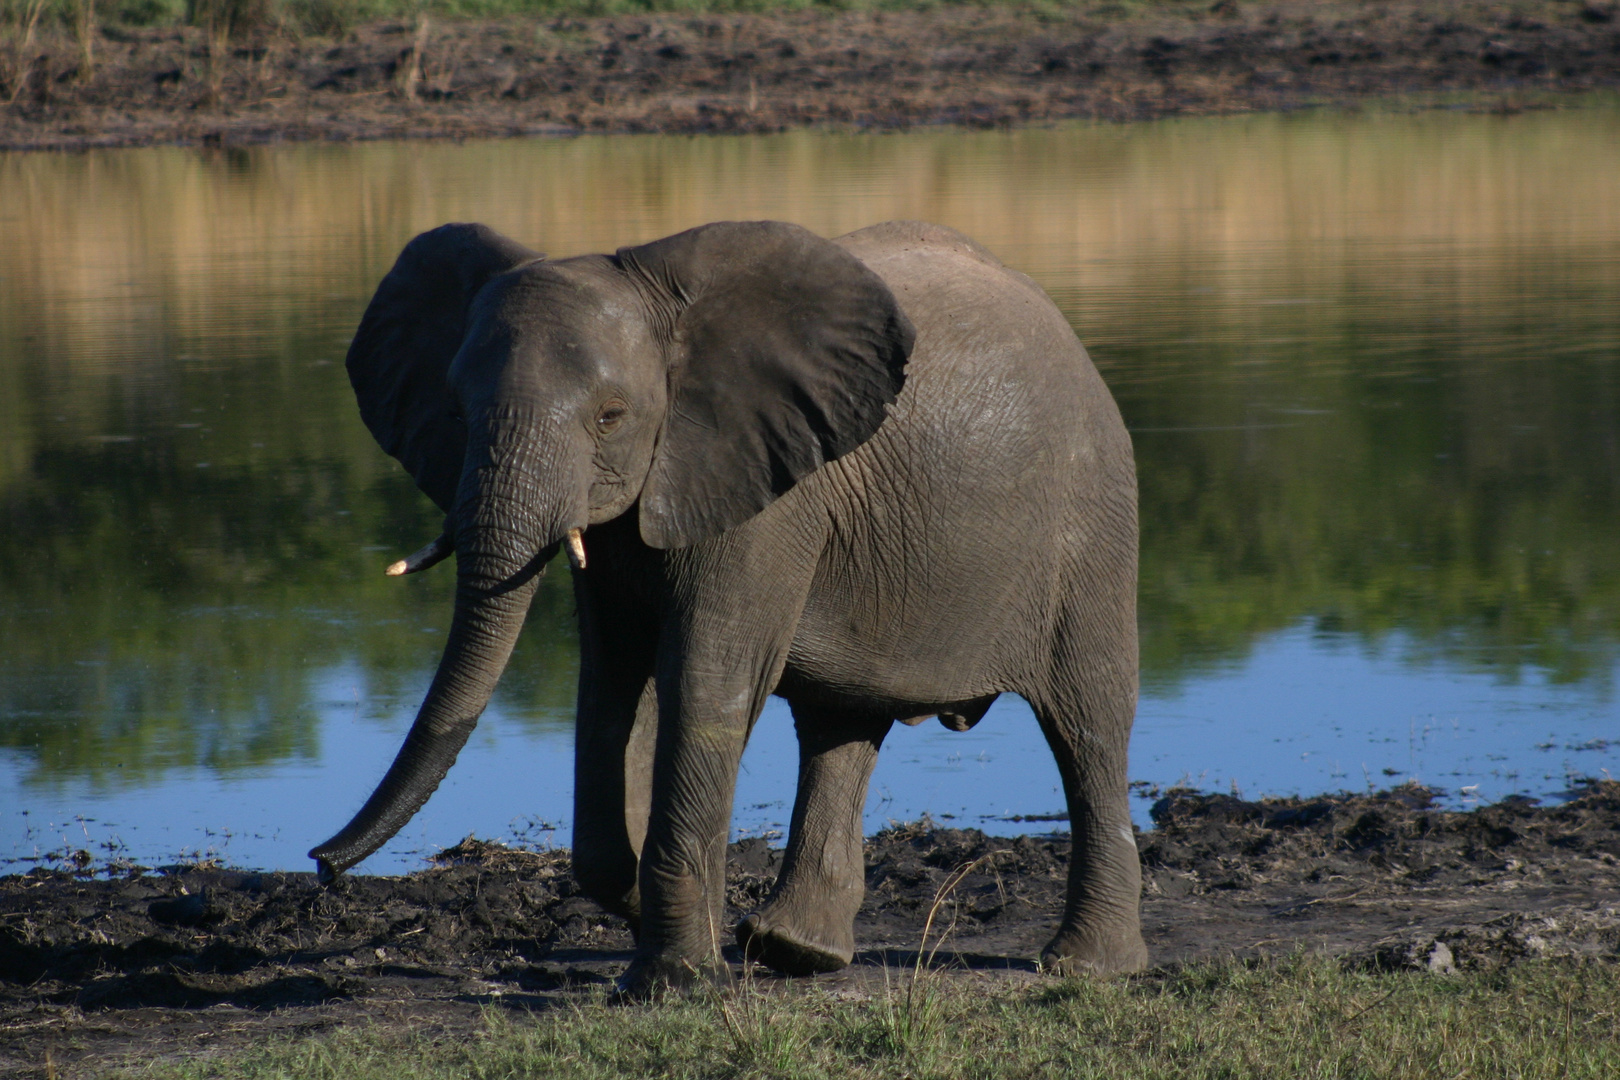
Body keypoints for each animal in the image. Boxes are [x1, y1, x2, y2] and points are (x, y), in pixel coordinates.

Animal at [309, 216, 1146, 997]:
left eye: (610, 417)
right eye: (456, 408)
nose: (321, 864)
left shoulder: (765, 493)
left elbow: (705, 681)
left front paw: (672, 980)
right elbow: (614, 682)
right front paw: (669, 921)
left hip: (1092, 523)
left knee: (1087, 724)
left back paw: (1088, 967)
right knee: (841, 724)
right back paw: (793, 951)